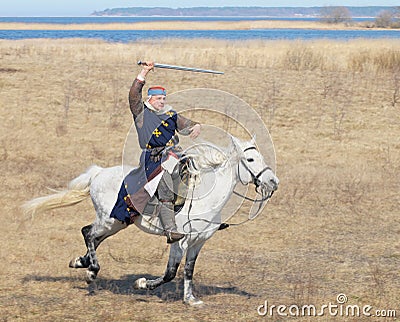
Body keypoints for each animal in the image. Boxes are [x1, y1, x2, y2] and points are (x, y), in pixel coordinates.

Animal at [21, 135, 278, 306]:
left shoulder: (199, 242)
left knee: (94, 237)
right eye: (250, 159)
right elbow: (171, 272)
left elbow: (189, 270)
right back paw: (91, 271)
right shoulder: (180, 241)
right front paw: (142, 284)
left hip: (117, 223)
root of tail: (99, 173)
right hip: (109, 220)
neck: (205, 195)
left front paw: (190, 299)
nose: (273, 182)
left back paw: (80, 263)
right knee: (88, 233)